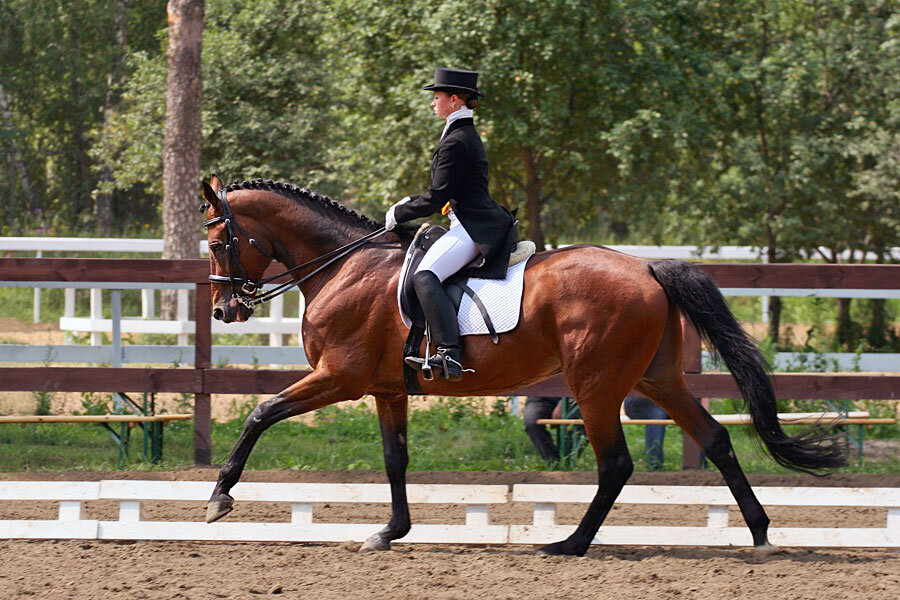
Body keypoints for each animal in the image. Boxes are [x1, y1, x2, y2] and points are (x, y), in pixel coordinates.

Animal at [197, 175, 844, 556]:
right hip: (655, 379)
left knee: (616, 464)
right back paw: (760, 535)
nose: (225, 309)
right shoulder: (387, 390)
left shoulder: (340, 377)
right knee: (715, 440)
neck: (343, 267)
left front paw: (219, 497)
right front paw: (389, 532)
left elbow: (260, 413)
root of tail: (647, 267)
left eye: (218, 242)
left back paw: (569, 544)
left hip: (596, 384)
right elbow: (394, 459)